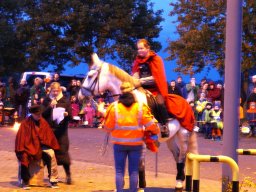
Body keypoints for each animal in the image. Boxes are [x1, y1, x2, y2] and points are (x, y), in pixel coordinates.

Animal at [78, 53, 198, 190]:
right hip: (170, 138)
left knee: (182, 156)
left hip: (183, 134)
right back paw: (179, 181)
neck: (129, 101)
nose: (80, 96)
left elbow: (139, 164)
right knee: (177, 154)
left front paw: (140, 186)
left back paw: (178, 182)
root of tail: (187, 103)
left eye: (90, 76)